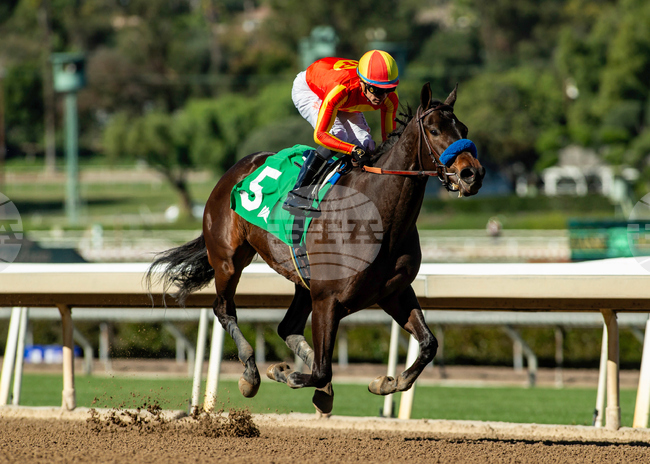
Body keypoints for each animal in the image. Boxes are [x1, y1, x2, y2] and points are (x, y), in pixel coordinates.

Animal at [146, 83, 485, 415]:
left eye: (464, 128)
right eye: (434, 129)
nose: (473, 174)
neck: (378, 217)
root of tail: (236, 169)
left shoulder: (393, 291)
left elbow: (428, 344)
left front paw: (386, 382)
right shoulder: (328, 298)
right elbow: (322, 370)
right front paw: (286, 373)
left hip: (302, 280)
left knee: (287, 327)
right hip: (229, 260)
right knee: (224, 309)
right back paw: (251, 374)